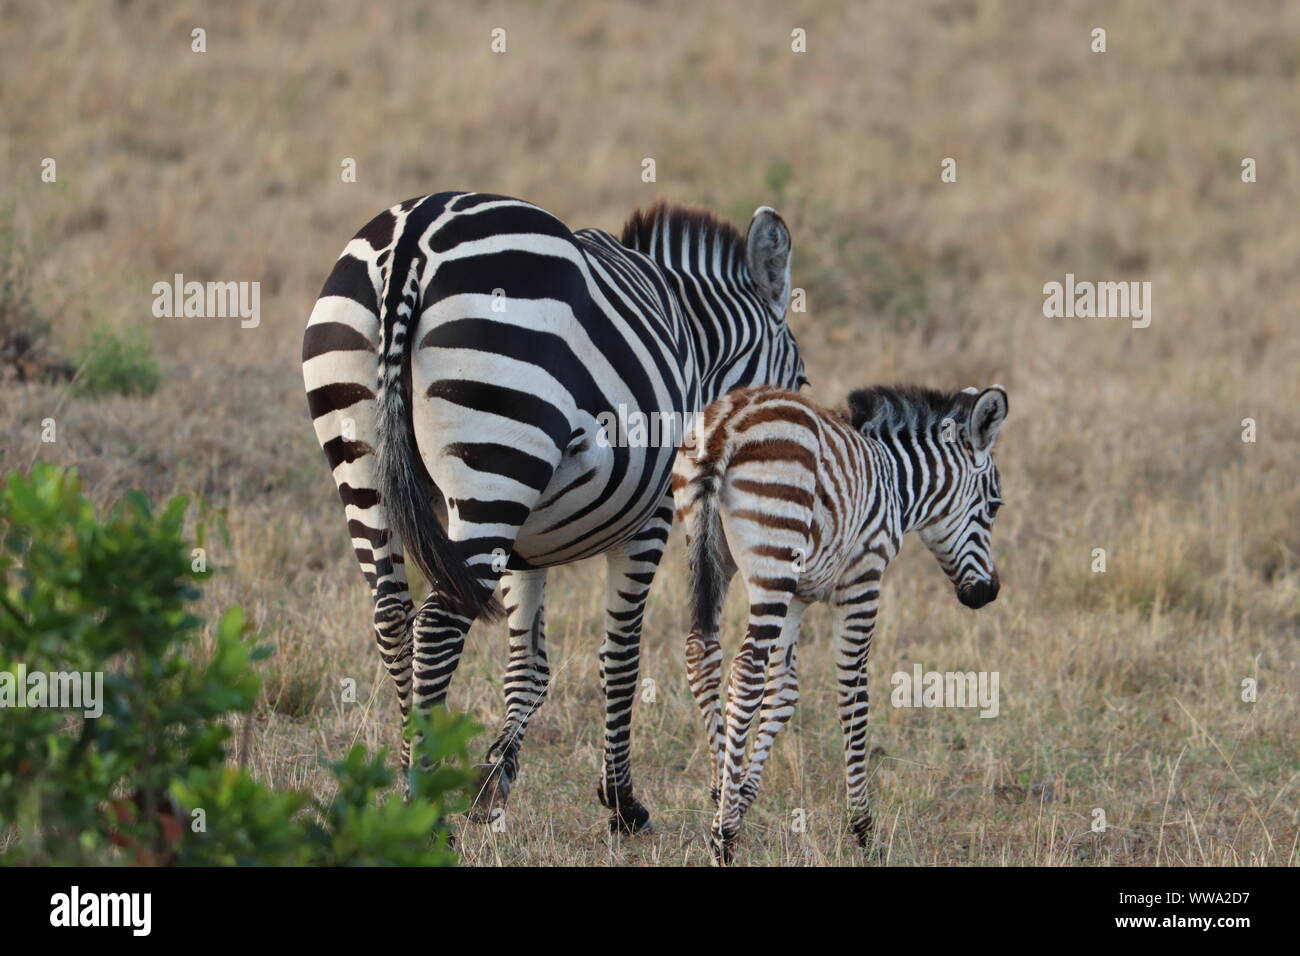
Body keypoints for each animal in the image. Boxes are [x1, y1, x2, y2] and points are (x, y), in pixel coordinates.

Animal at [302, 191, 807, 833]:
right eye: (798, 382)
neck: (696, 343)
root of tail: (413, 236)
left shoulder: (523, 546)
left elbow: (530, 665)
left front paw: (493, 783)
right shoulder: (652, 516)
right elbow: (620, 656)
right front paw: (621, 803)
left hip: (365, 458)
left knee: (393, 618)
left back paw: (403, 789)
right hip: (495, 455)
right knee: (438, 624)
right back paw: (424, 813)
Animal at [671, 382, 1008, 862]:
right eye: (994, 506)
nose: (988, 593)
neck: (897, 486)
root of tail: (727, 425)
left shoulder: (796, 595)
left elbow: (784, 694)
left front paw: (739, 794)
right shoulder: (862, 580)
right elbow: (854, 695)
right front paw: (863, 829)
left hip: (712, 552)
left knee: (702, 654)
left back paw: (722, 796)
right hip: (774, 554)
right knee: (746, 671)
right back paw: (725, 839)